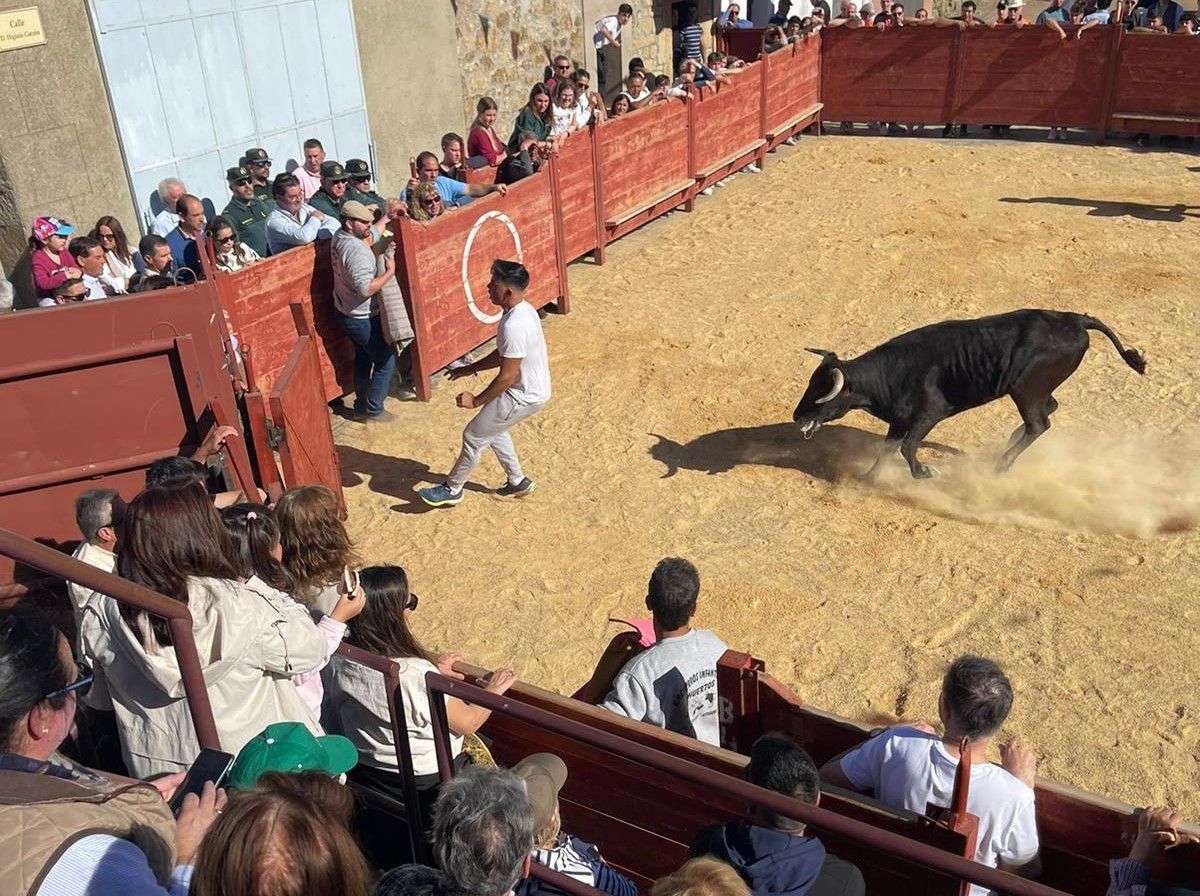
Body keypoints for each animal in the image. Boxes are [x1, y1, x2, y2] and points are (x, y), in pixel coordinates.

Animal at [792, 309, 1147, 477]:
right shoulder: (900, 420)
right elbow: (889, 448)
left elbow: (908, 446)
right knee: (1048, 409)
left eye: (823, 393)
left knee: (1039, 424)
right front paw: (868, 478)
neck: (890, 374)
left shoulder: (929, 414)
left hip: (1025, 390)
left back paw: (1002, 465)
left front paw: (924, 472)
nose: (796, 416)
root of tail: (1076, 320)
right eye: (811, 383)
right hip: (1035, 390)